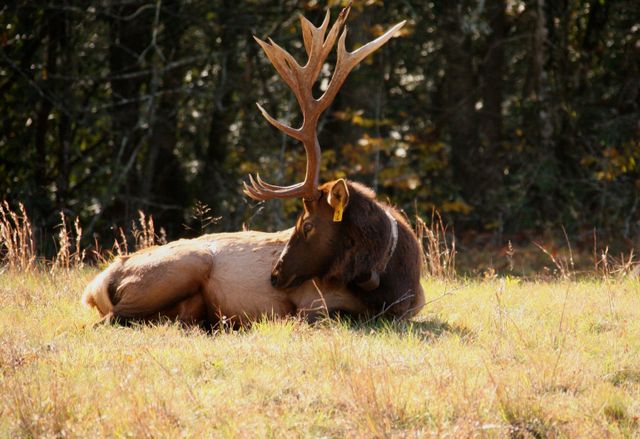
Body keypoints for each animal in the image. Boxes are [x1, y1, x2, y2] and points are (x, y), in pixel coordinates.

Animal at [82, 3, 422, 326]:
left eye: (308, 225)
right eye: (298, 223)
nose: (275, 276)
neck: (393, 281)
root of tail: (98, 284)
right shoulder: (314, 301)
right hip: (184, 265)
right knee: (109, 320)